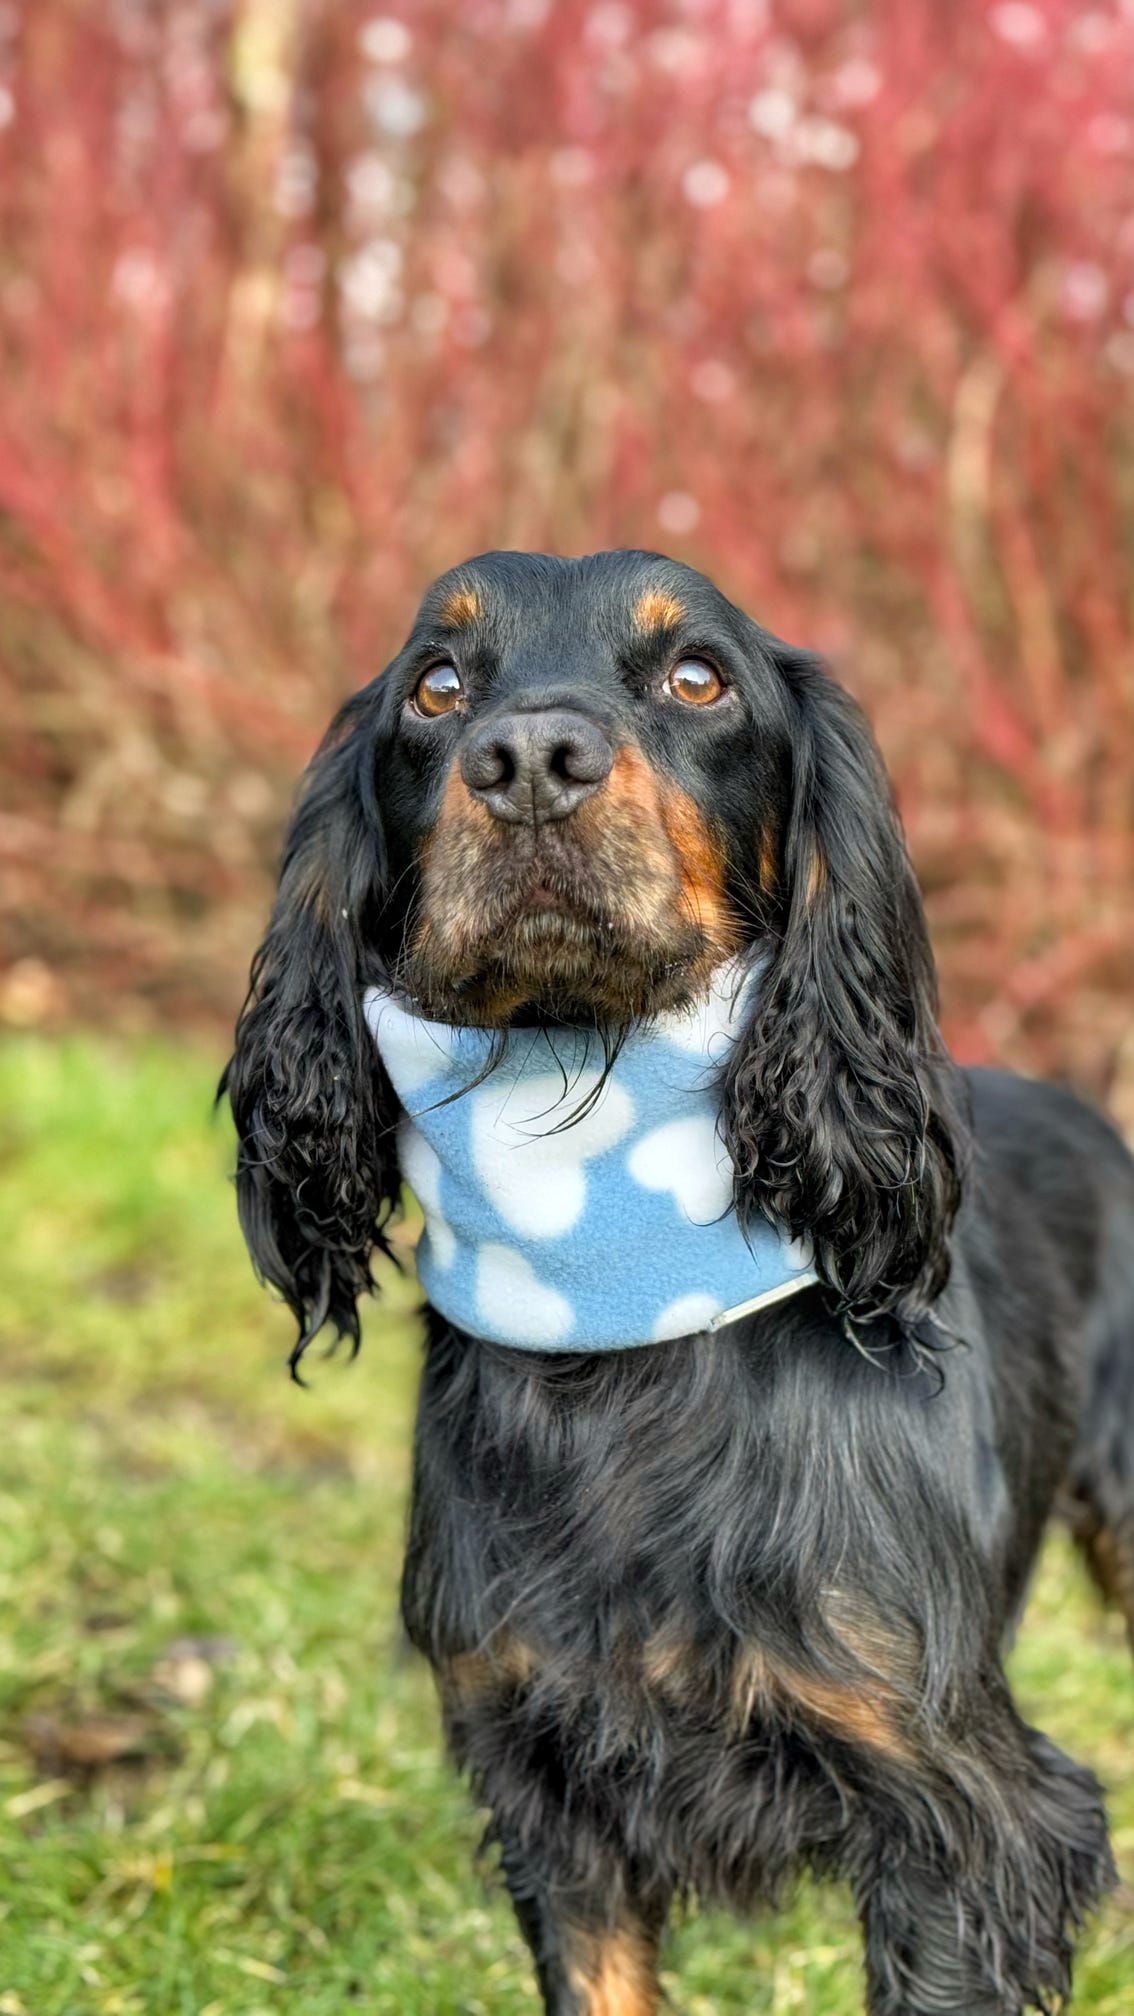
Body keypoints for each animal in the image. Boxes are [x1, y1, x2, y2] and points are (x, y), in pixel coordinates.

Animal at [224, 552, 1121, 2016]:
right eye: (435, 686)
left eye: (698, 678)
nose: (529, 759)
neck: (617, 1289)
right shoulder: (547, 1779)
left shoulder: (959, 1820)